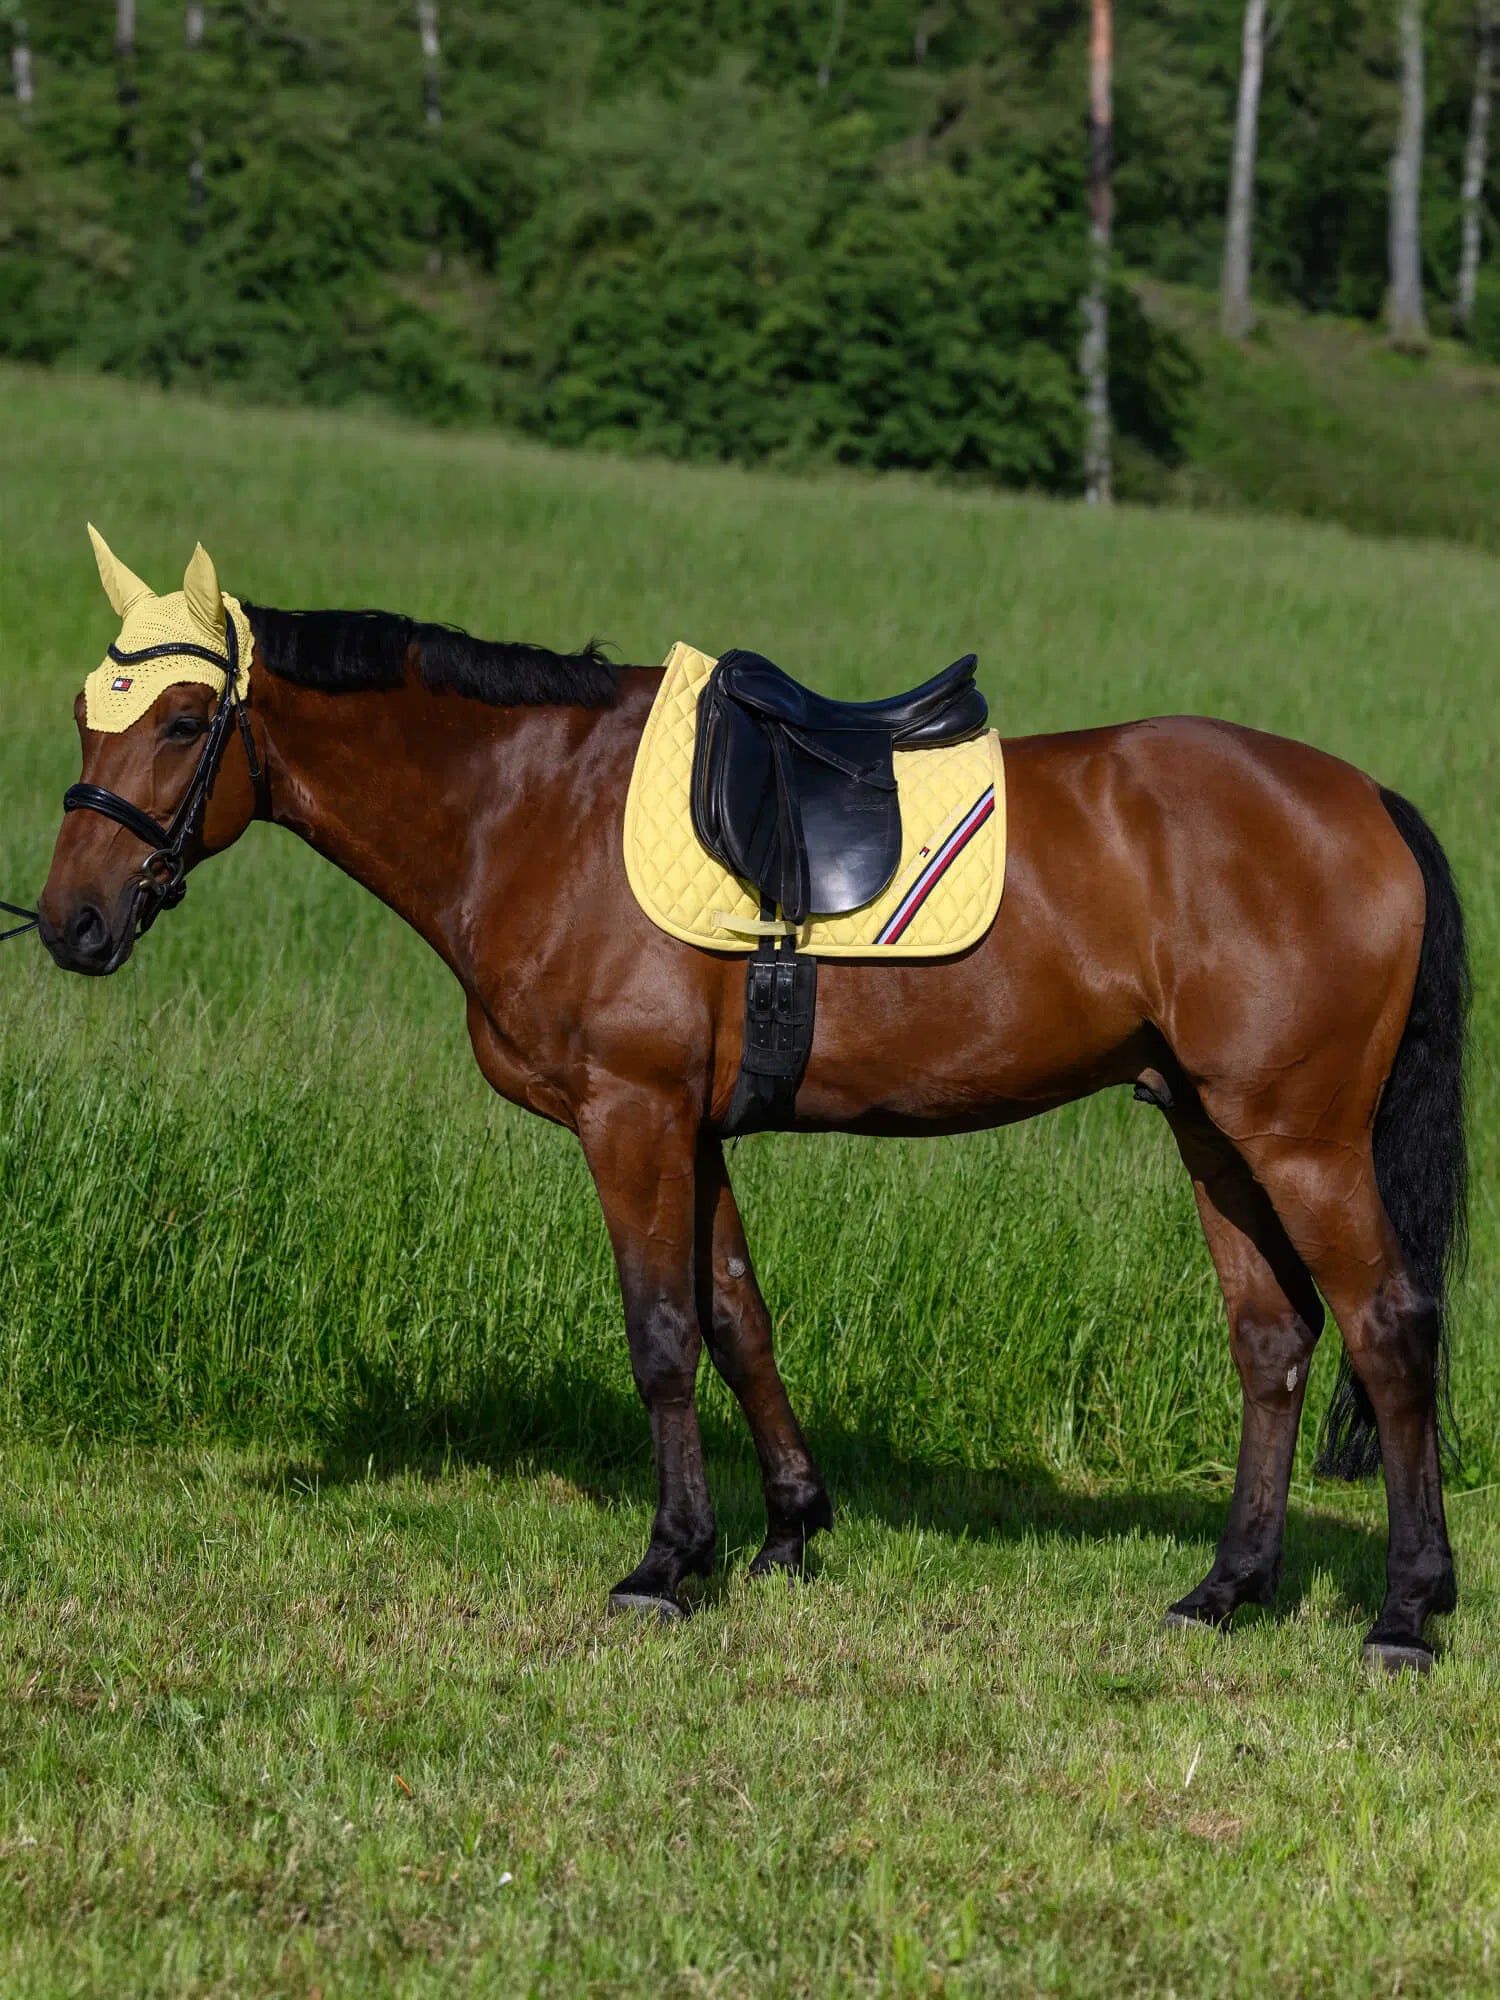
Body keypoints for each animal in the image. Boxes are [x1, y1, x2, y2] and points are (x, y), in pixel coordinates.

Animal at [34, 533, 1469, 1673]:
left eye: (179, 724)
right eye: (87, 713)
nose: (70, 924)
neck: (531, 801)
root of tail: (1367, 802)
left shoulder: (630, 1115)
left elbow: (663, 1332)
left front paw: (668, 1561)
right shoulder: (695, 1125)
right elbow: (738, 1318)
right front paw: (785, 1528)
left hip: (1301, 1138)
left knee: (1388, 1329)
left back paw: (1406, 1611)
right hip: (1212, 1130)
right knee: (1274, 1341)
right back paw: (1226, 1588)